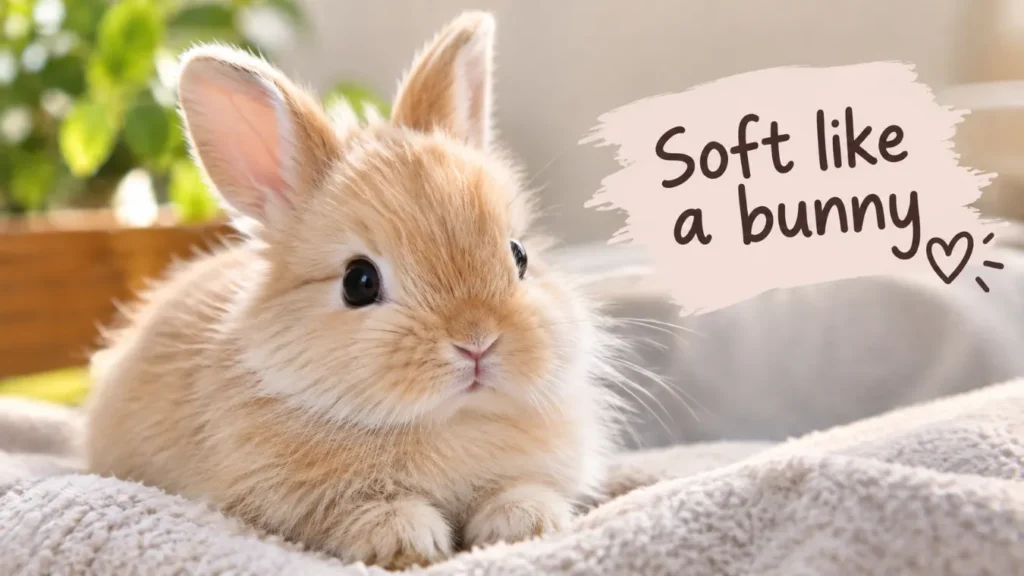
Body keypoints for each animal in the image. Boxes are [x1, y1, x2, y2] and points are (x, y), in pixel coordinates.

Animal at [84, 11, 627, 571]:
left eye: (519, 255)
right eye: (359, 282)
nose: (477, 341)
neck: (446, 420)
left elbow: (520, 490)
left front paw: (524, 521)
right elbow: (356, 514)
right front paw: (409, 538)